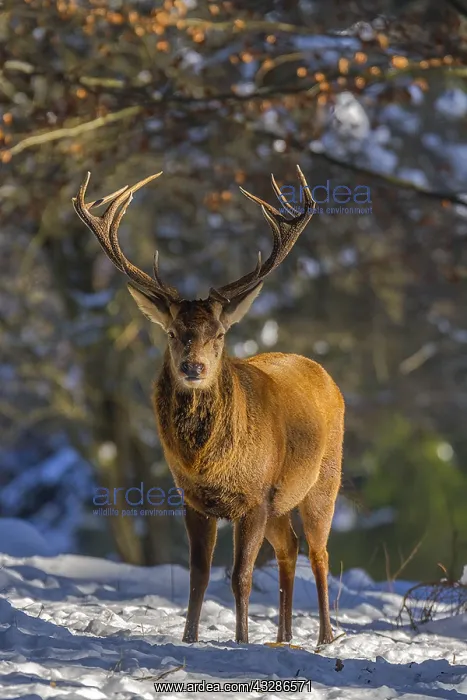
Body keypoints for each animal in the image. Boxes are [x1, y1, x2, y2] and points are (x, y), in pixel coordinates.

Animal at [72, 165, 344, 647]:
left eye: (218, 333)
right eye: (171, 332)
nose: (193, 367)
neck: (211, 463)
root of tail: (325, 375)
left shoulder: (254, 497)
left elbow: (240, 577)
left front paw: (240, 640)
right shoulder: (194, 500)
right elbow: (198, 574)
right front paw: (189, 638)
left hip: (324, 482)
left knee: (319, 552)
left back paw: (325, 637)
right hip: (280, 503)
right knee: (290, 547)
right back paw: (284, 636)